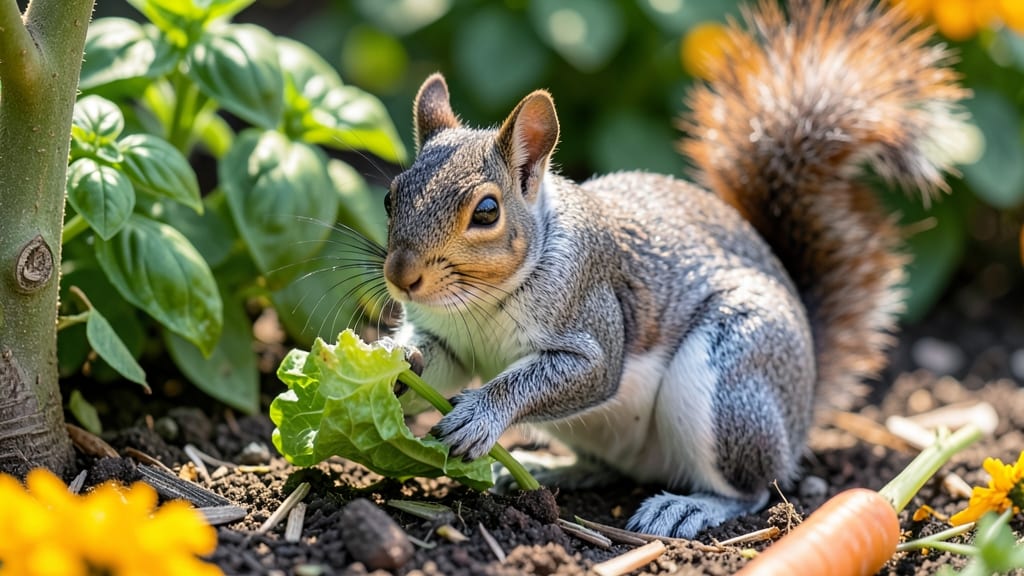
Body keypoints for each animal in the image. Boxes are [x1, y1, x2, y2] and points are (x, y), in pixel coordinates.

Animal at [380, 0, 968, 537]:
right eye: (390, 196)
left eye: (486, 212)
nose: (401, 279)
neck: (481, 301)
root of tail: (802, 410)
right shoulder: (449, 338)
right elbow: (437, 361)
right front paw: (392, 359)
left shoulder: (592, 312)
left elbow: (581, 373)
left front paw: (481, 413)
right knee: (608, 466)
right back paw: (555, 469)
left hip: (730, 388)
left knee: (753, 489)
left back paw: (689, 507)